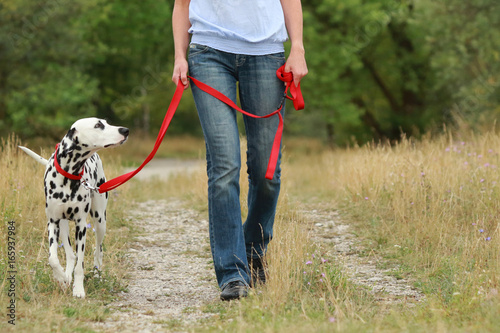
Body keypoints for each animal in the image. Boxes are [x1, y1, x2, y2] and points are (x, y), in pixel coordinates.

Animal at [19, 117, 129, 298]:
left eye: (105, 122)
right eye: (98, 125)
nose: (125, 130)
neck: (69, 175)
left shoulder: (81, 225)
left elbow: (80, 264)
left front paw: (78, 289)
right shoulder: (52, 222)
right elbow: (53, 259)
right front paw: (61, 278)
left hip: (100, 221)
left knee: (98, 250)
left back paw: (97, 274)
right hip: (63, 226)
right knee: (70, 254)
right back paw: (66, 277)